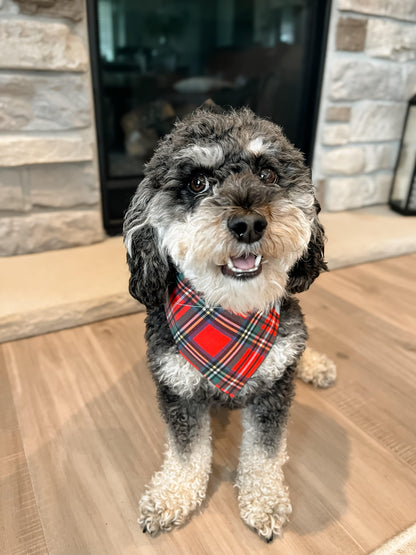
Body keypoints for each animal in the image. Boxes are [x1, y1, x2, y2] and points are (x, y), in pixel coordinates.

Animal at [122, 105, 336, 544]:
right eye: (198, 182)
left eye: (268, 174)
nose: (249, 224)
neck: (231, 312)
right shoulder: (178, 388)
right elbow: (186, 453)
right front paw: (170, 497)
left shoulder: (274, 387)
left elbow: (264, 452)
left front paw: (265, 499)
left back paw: (315, 364)